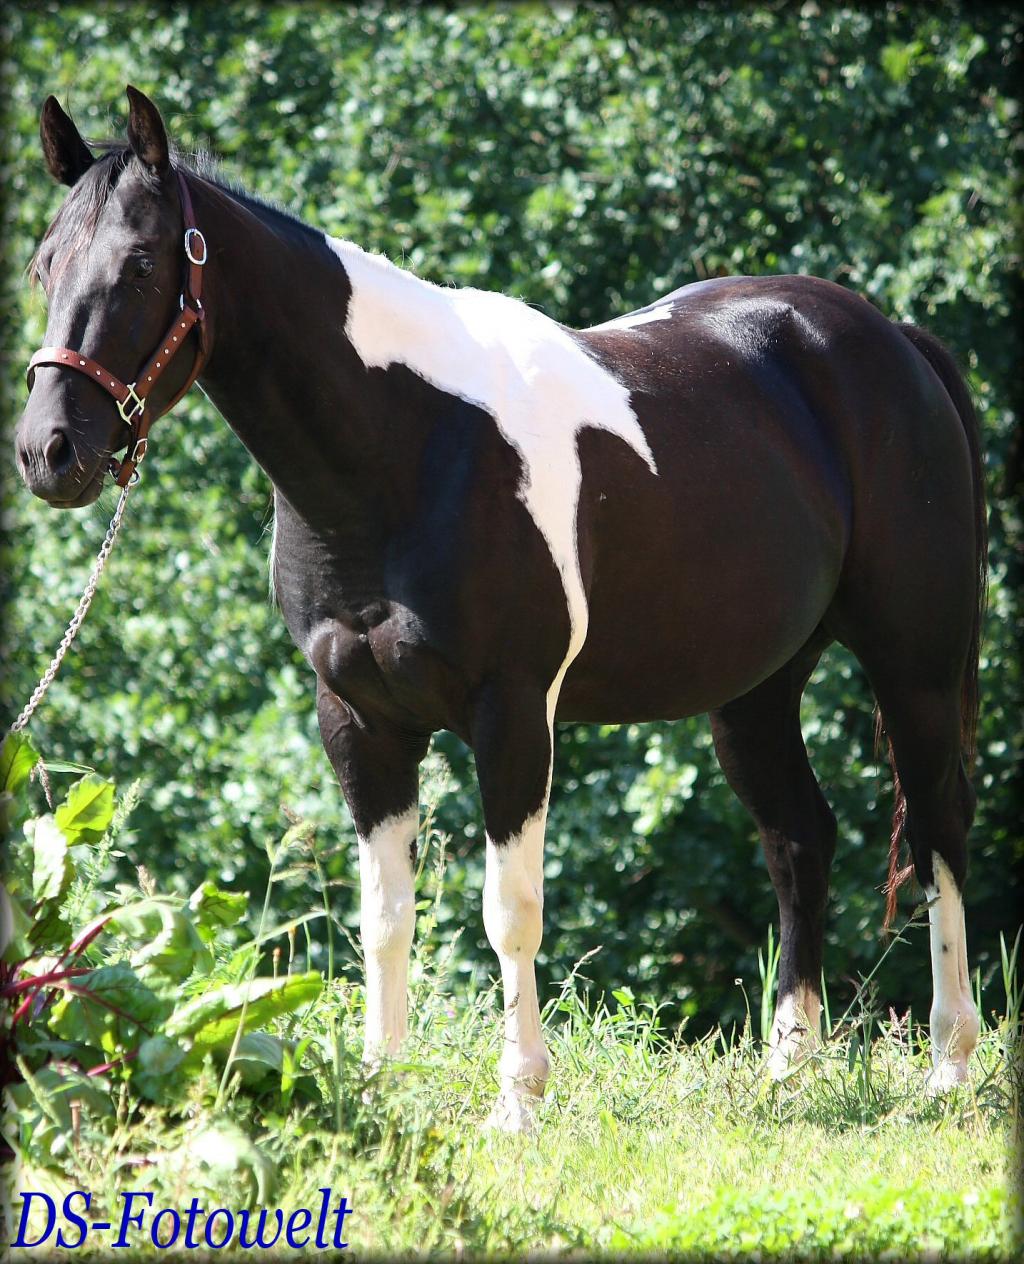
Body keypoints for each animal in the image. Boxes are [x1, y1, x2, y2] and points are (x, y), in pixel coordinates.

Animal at [15, 88, 986, 1132]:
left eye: (141, 264)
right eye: (43, 263)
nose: (49, 451)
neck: (407, 448)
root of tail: (894, 343)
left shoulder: (512, 713)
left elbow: (508, 912)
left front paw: (517, 1099)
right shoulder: (358, 720)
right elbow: (385, 917)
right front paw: (380, 1082)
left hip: (916, 670)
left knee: (938, 834)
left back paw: (950, 1065)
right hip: (756, 691)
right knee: (801, 839)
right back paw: (788, 1068)